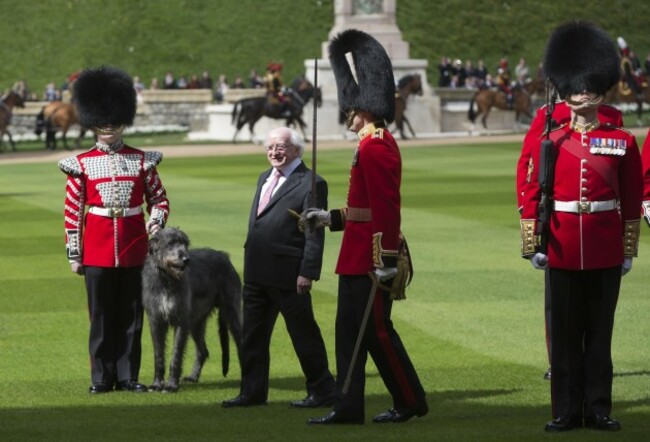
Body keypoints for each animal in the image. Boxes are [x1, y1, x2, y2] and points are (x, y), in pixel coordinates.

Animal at [142, 228, 243, 394]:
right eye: (171, 243)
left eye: (185, 243)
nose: (186, 259)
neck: (167, 279)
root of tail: (225, 257)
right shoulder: (155, 321)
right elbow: (158, 355)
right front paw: (156, 384)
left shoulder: (181, 321)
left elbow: (176, 354)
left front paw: (171, 385)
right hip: (196, 322)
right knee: (203, 351)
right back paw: (193, 376)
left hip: (231, 312)